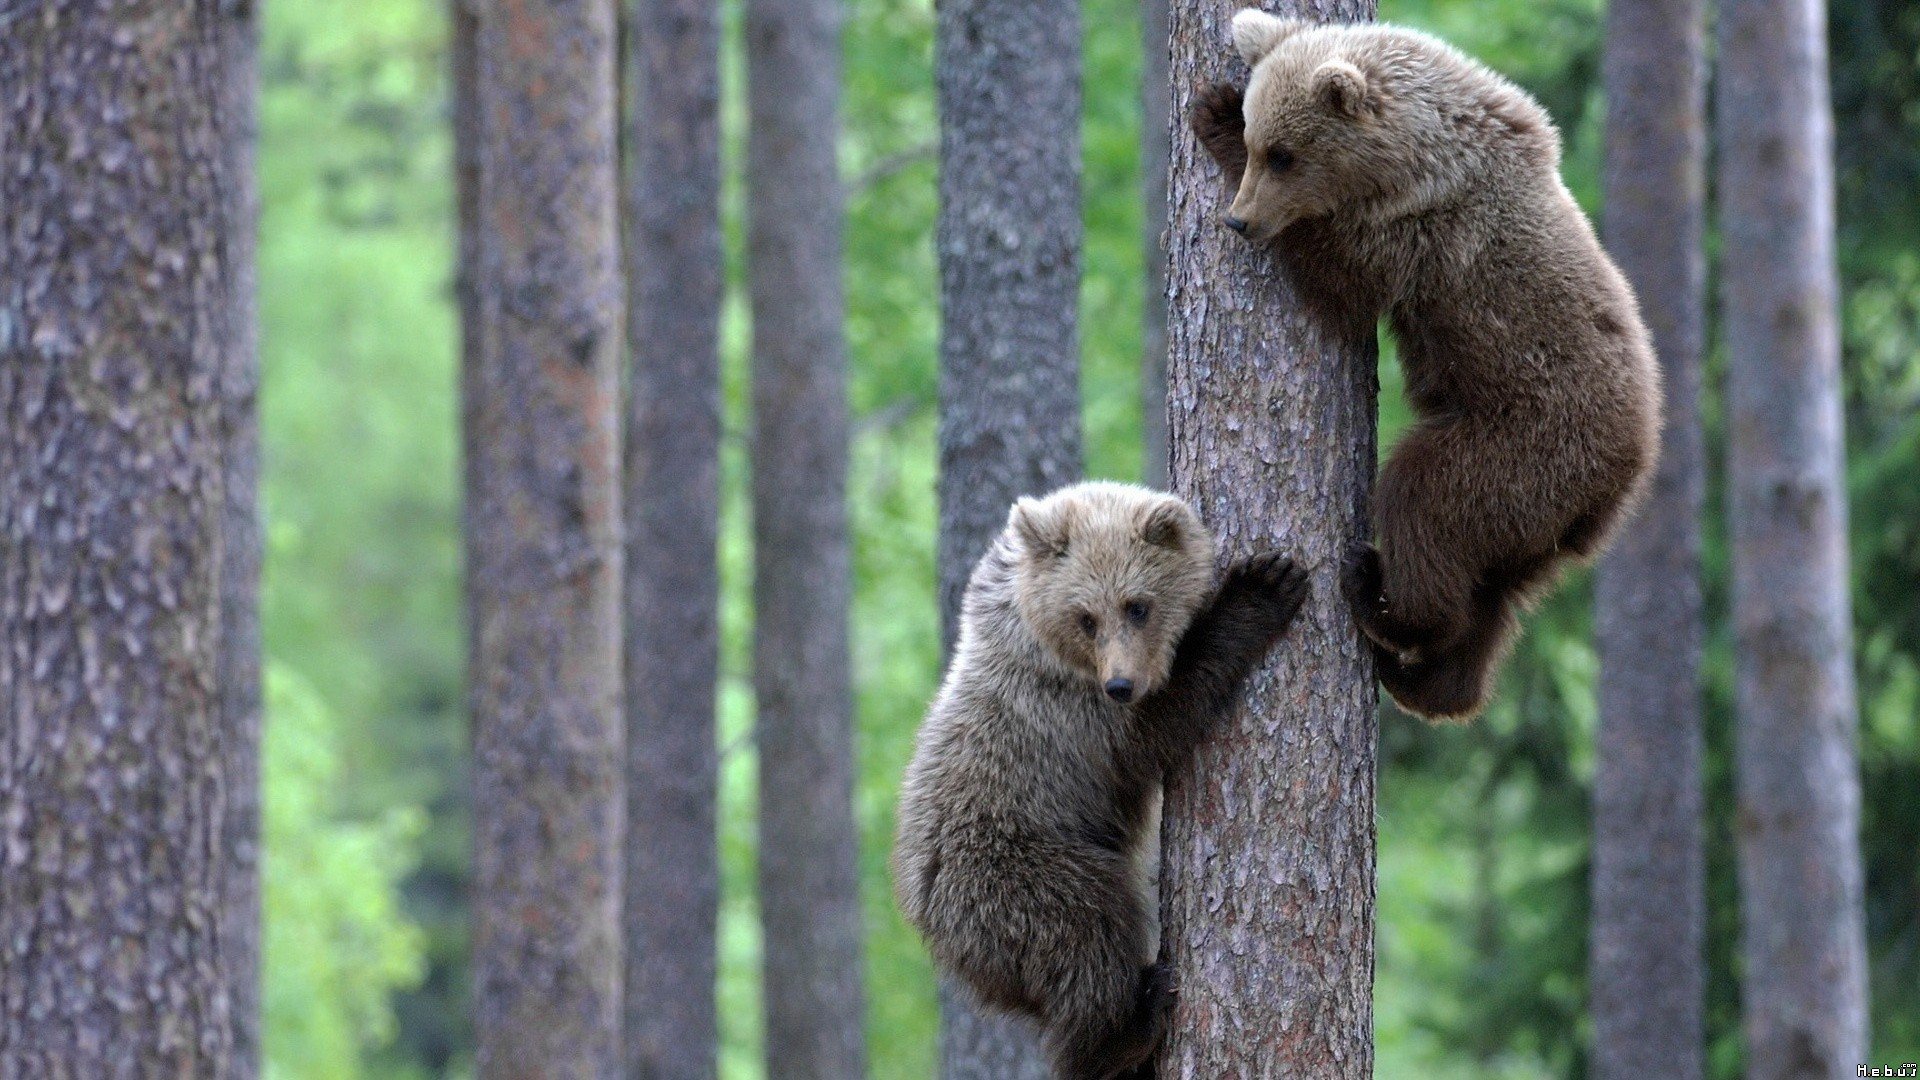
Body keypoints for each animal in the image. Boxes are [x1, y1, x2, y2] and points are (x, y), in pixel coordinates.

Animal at [891, 481, 1309, 1080]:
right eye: (1086, 616)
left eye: (1138, 605)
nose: (1121, 684)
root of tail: (925, 916)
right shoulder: (1072, 716)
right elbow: (1157, 728)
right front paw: (1262, 587)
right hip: (1015, 870)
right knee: (1088, 929)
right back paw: (1129, 1023)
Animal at [1191, 10, 1662, 721]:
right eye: (1260, 142)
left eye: (1282, 154)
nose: (1240, 220)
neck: (1416, 157)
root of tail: (1626, 474)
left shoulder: (1421, 237)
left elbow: (1342, 285)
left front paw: (1211, 112)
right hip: (1537, 523)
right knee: (1494, 596)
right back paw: (1429, 680)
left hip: (1522, 446)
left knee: (1423, 502)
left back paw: (1379, 597)